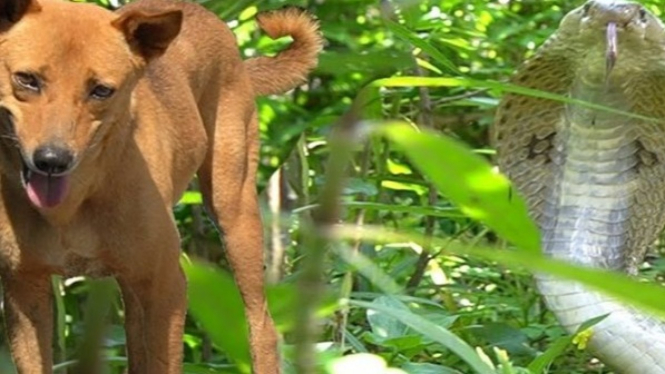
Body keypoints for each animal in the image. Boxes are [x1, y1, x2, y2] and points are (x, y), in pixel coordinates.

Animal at [0, 0, 322, 372]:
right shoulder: (24, 290)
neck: (74, 203)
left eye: (101, 90)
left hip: (235, 217)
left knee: (263, 327)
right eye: (27, 80)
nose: (52, 160)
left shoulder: (166, 286)